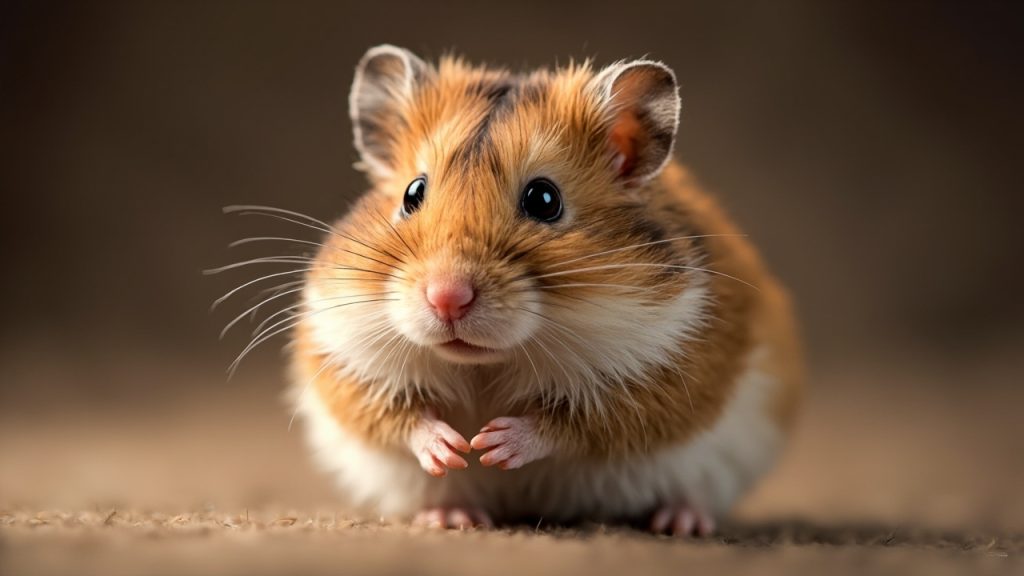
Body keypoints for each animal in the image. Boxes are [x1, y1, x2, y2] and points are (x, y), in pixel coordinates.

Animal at [286, 45, 803, 536]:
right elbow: (397, 415)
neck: (488, 363)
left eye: (544, 199)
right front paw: (452, 448)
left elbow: (575, 423)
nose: (446, 297)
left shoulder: (665, 371)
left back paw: (682, 522)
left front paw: (493, 444)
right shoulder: (344, 357)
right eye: (413, 193)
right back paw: (452, 516)